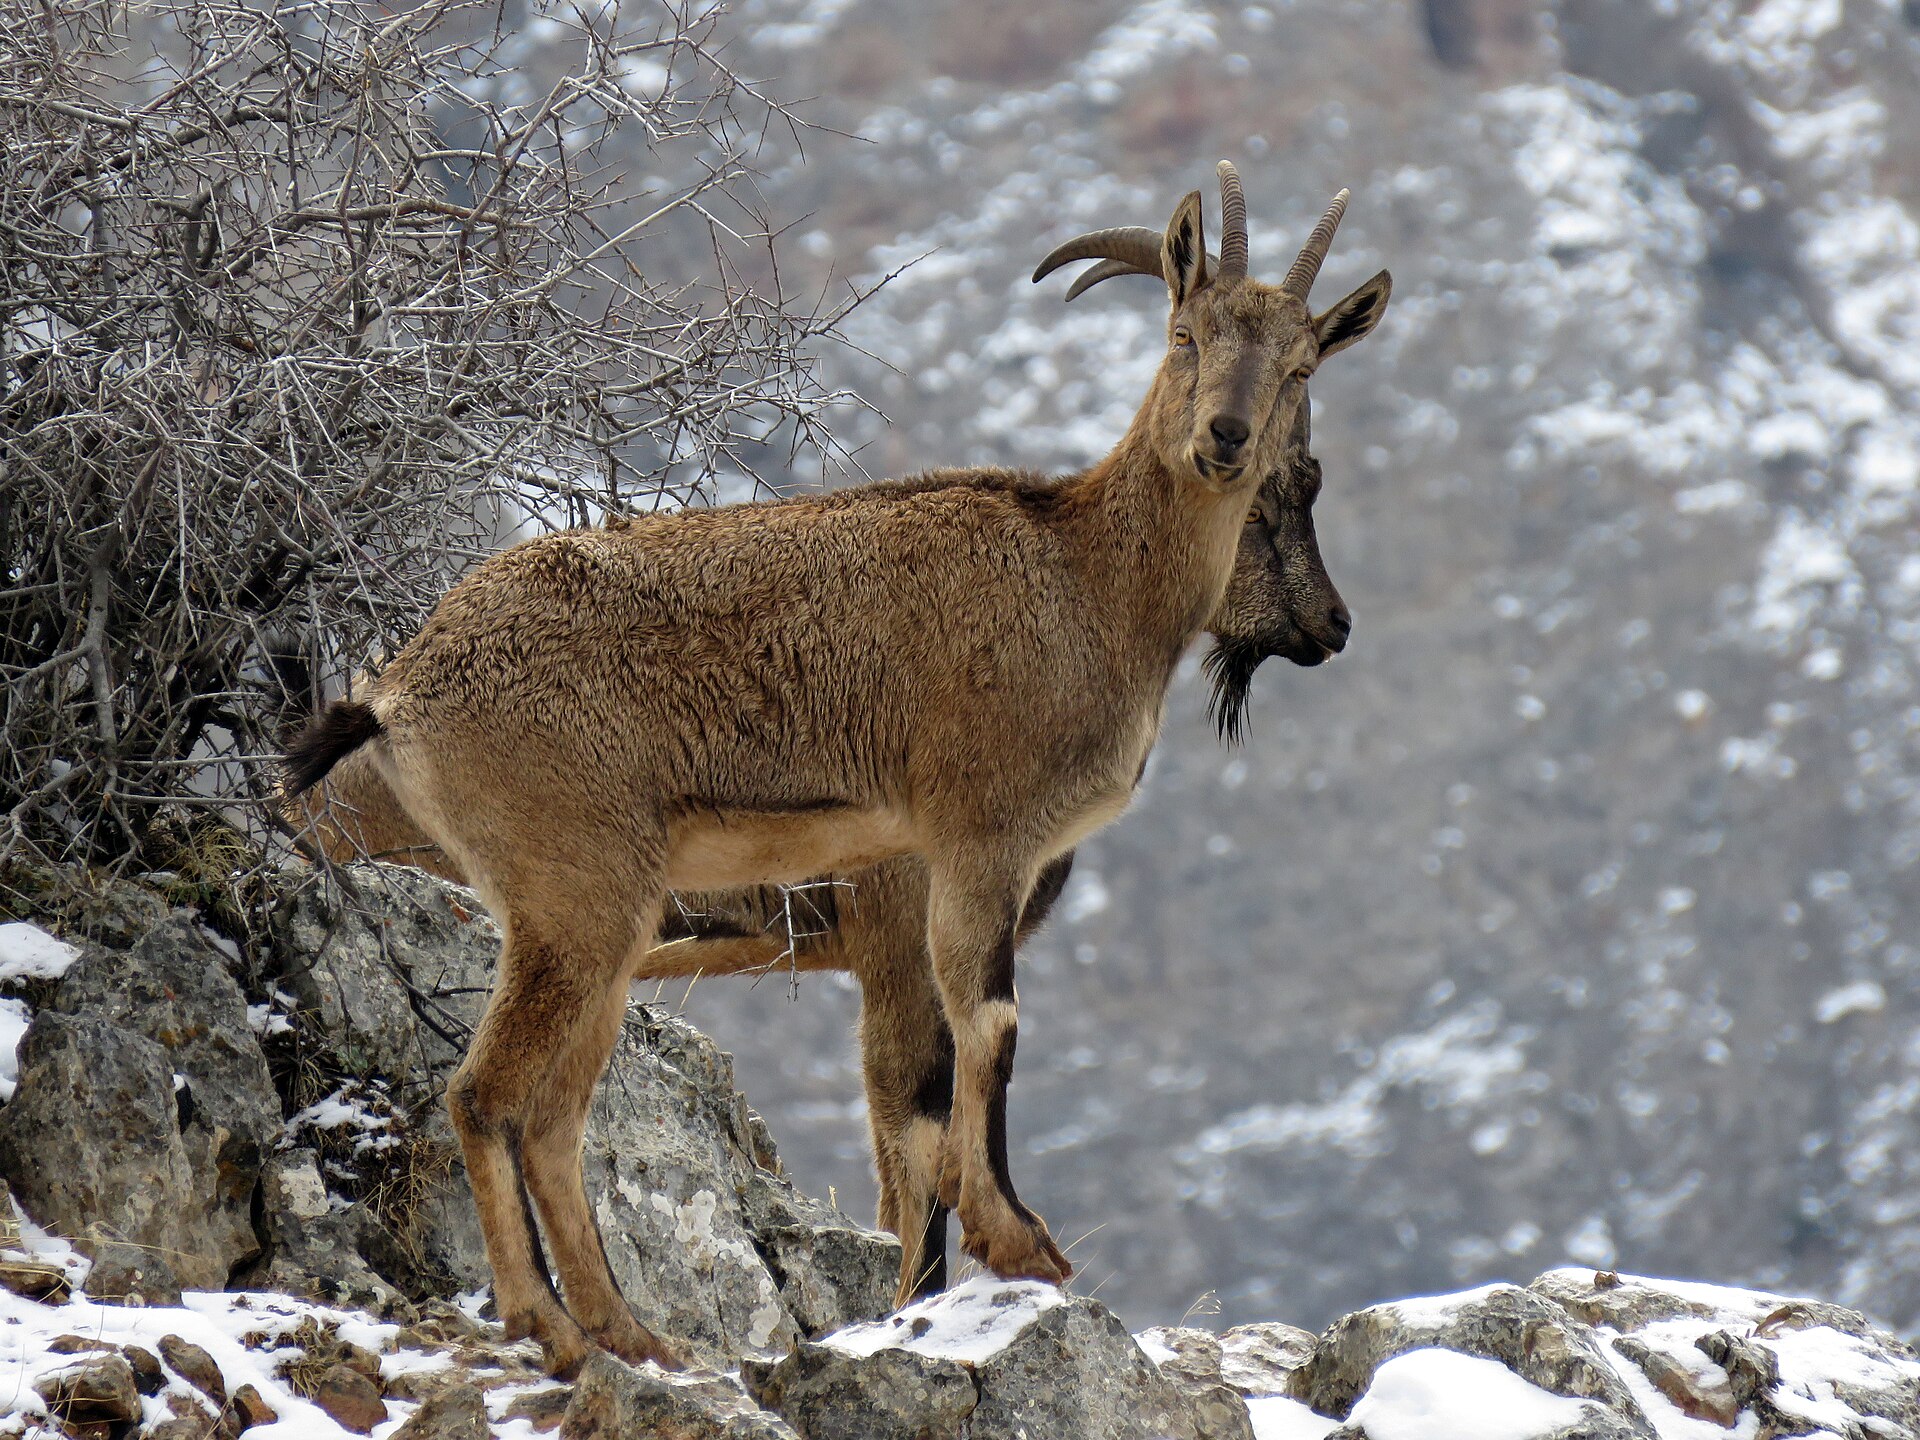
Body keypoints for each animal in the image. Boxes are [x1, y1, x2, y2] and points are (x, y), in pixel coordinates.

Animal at [283, 162, 1389, 1375]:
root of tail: (399, 687)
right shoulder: (967, 847)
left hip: (598, 929)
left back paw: (633, 1333)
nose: (1226, 439)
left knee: (557, 1115)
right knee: (487, 1096)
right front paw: (1019, 1243)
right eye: (1187, 332)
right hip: (575, 896)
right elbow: (975, 1044)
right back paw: (551, 1328)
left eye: (1299, 366)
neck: (1088, 581)